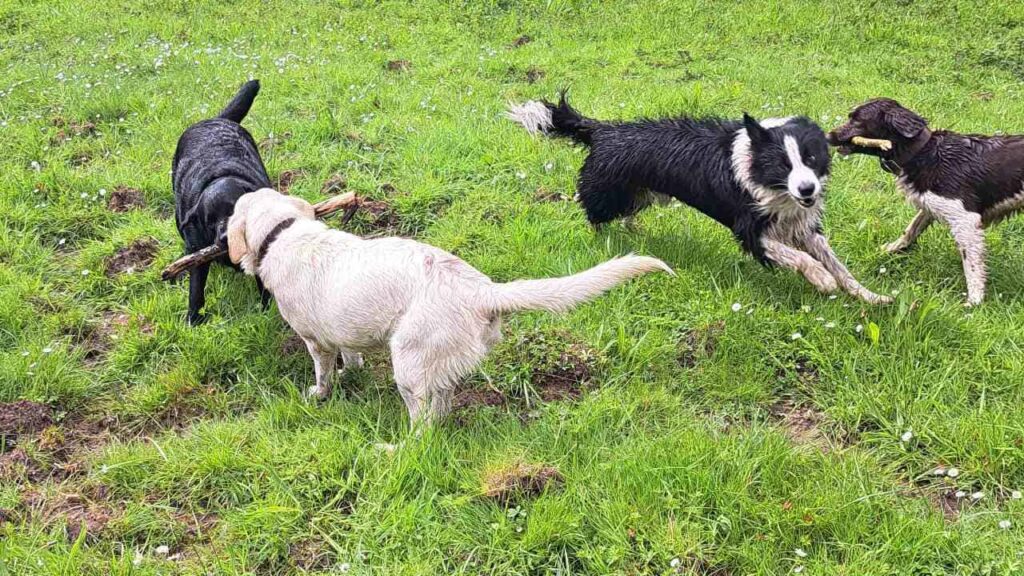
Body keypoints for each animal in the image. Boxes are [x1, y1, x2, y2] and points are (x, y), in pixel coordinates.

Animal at [174, 78, 274, 325]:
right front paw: (193, 320)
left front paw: (267, 309)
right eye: (209, 221)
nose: (227, 237)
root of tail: (216, 119)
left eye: (237, 211)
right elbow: (196, 289)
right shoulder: (197, 247)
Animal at [505, 93, 888, 305]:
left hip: (642, 195)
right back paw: (605, 242)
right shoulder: (750, 229)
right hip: (608, 191)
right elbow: (800, 258)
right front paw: (821, 280)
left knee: (626, 213)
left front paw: (870, 296)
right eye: (783, 165)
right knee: (592, 212)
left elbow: (839, 266)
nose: (807, 190)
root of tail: (605, 130)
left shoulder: (802, 225)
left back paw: (634, 232)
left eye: (811, 158)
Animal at [827, 98, 1024, 305]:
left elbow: (971, 266)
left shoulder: (965, 220)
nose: (828, 136)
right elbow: (910, 230)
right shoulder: (930, 205)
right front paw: (889, 250)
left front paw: (974, 301)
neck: (923, 153)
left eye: (857, 120)